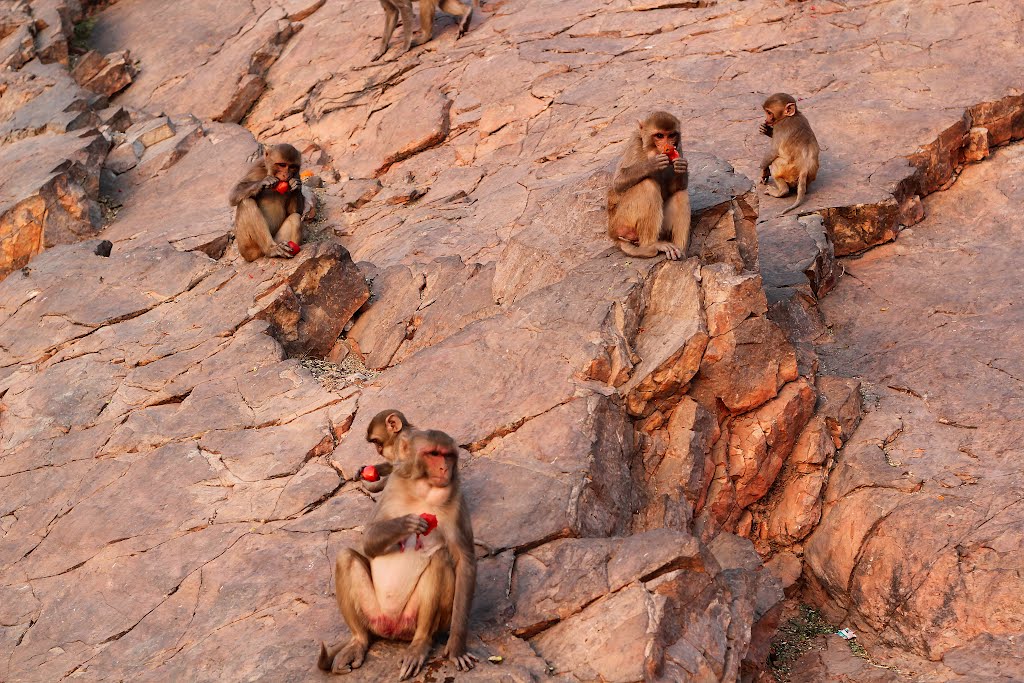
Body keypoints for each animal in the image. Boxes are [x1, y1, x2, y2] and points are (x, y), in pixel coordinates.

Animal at [317, 430, 477, 679]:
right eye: (434, 454)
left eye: (449, 455)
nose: (444, 468)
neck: (424, 491)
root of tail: (390, 629)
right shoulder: (394, 487)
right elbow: (368, 539)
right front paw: (407, 523)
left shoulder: (456, 501)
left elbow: (464, 562)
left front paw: (457, 648)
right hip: (372, 614)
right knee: (345, 558)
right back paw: (358, 641)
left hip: (410, 621)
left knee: (440, 560)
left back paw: (420, 644)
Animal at [602, 112, 692, 262]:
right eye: (659, 135)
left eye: (671, 135)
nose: (668, 146)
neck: (652, 149)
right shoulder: (635, 143)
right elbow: (618, 183)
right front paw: (652, 164)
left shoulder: (678, 147)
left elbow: (675, 188)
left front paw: (681, 166)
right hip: (622, 221)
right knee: (647, 184)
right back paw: (650, 246)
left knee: (681, 194)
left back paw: (681, 252)